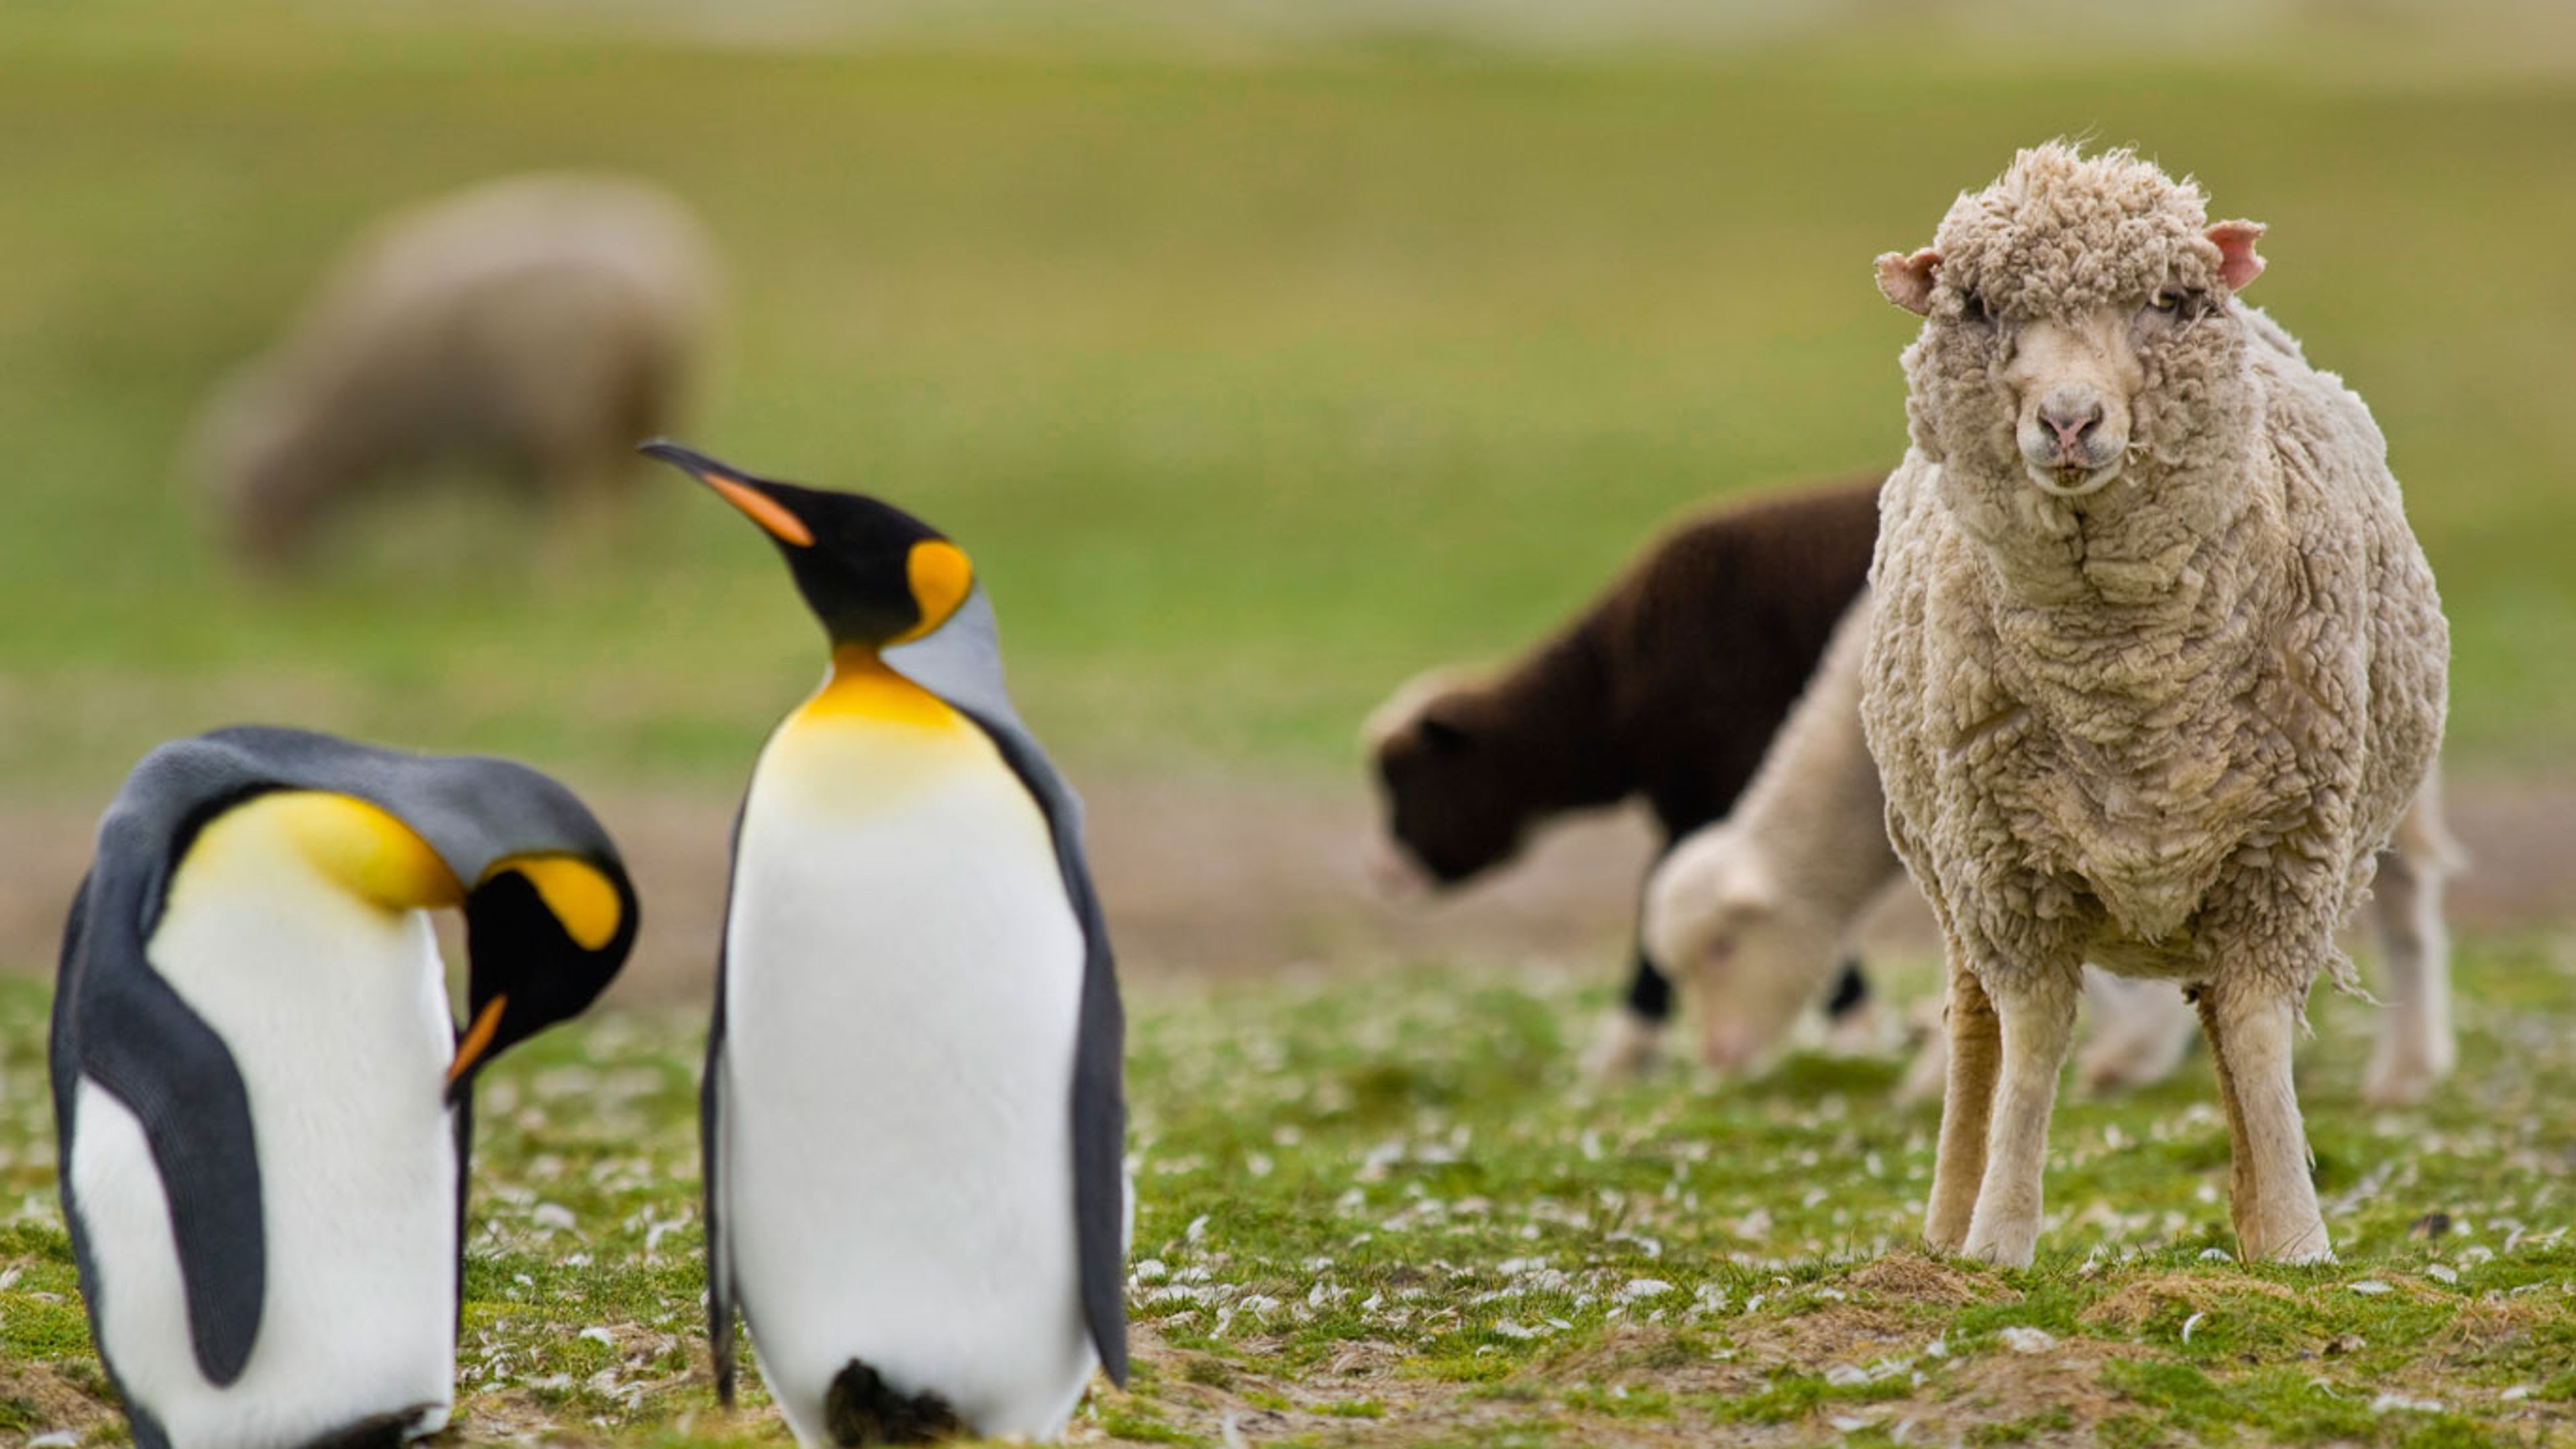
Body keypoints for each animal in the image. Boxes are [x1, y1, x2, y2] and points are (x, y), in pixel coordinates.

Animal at [1865, 141, 2442, 1258]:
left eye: (2171, 301)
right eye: (1978, 306)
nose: (2069, 420)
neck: (2124, 690)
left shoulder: (2285, 858)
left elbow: (2256, 1036)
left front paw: (2297, 1239)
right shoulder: (2008, 869)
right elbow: (2033, 1038)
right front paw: (1999, 1237)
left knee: (2216, 1019)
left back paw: (2250, 1216)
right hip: (1945, 864)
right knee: (1972, 1025)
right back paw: (1946, 1225)